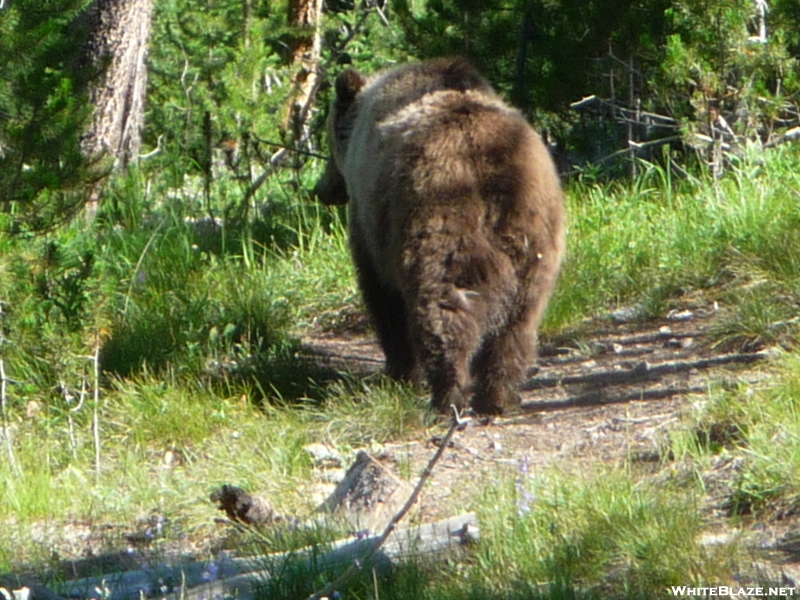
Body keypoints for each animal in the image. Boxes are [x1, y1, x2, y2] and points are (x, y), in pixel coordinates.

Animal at [316, 58, 564, 414]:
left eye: (327, 138)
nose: (321, 189)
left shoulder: (372, 224)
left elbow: (381, 294)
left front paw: (399, 372)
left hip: (441, 209)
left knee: (444, 303)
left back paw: (448, 394)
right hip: (536, 231)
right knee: (520, 319)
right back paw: (500, 396)